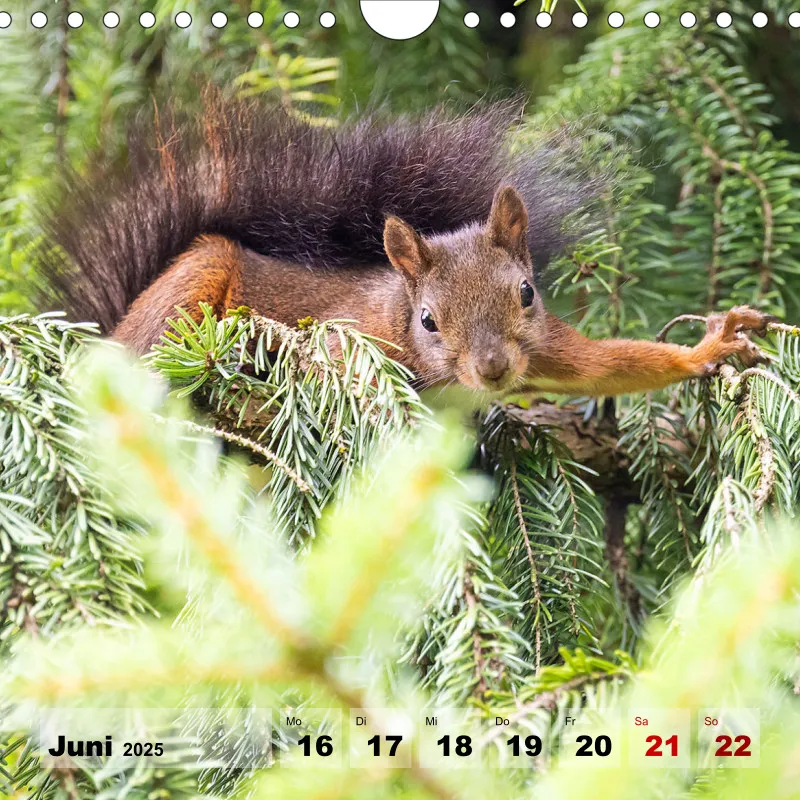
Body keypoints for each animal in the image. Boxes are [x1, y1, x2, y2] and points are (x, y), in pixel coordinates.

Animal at [37, 93, 770, 396]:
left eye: (526, 293)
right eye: (428, 320)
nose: (494, 371)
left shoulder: (545, 347)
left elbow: (611, 365)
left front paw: (710, 346)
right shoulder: (355, 336)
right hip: (189, 292)